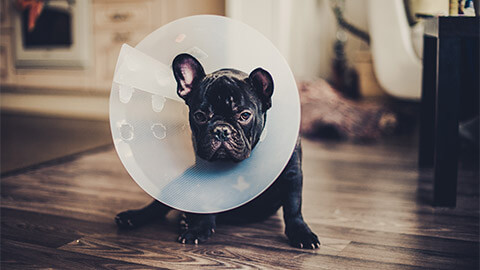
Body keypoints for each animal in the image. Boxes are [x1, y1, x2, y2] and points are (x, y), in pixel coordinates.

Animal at [114, 52, 320, 249]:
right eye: (200, 116)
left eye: (244, 115)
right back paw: (135, 217)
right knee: (158, 206)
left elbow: (293, 207)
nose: (221, 130)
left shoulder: (292, 175)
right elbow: (208, 203)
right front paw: (199, 229)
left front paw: (301, 233)